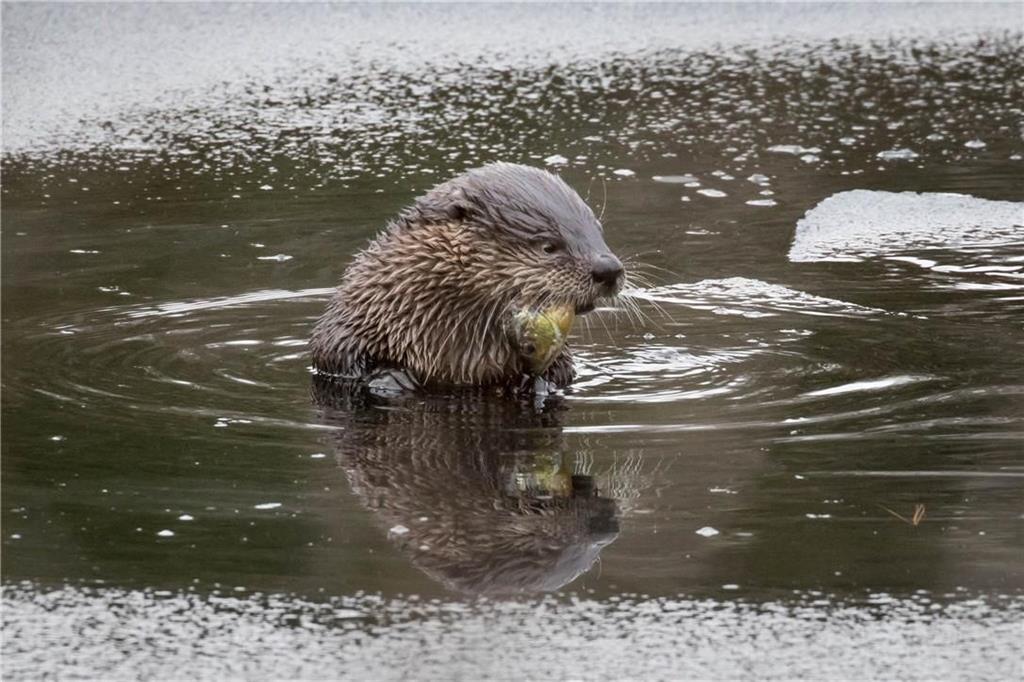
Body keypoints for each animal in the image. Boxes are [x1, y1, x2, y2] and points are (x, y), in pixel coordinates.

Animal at [309, 161, 622, 391]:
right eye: (548, 246)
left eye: (598, 231)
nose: (609, 269)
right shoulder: (349, 322)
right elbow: (332, 353)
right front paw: (390, 377)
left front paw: (540, 383)